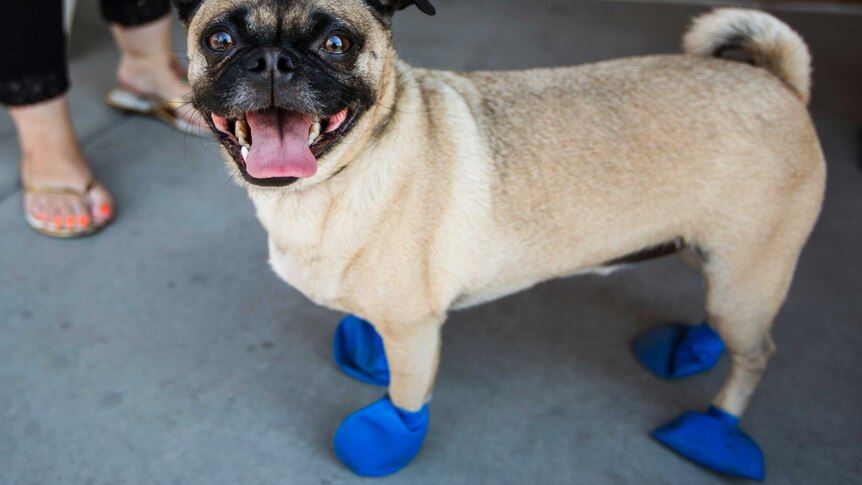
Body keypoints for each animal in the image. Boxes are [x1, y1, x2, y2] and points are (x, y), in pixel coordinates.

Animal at [172, 0, 828, 476]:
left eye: (336, 44)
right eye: (219, 41)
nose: (272, 62)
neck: (330, 181)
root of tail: (778, 82)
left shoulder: (414, 329)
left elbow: (407, 398)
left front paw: (386, 434)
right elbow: (370, 332)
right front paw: (366, 356)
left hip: (746, 278)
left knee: (755, 354)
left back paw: (714, 430)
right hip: (716, 260)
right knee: (720, 320)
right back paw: (687, 349)